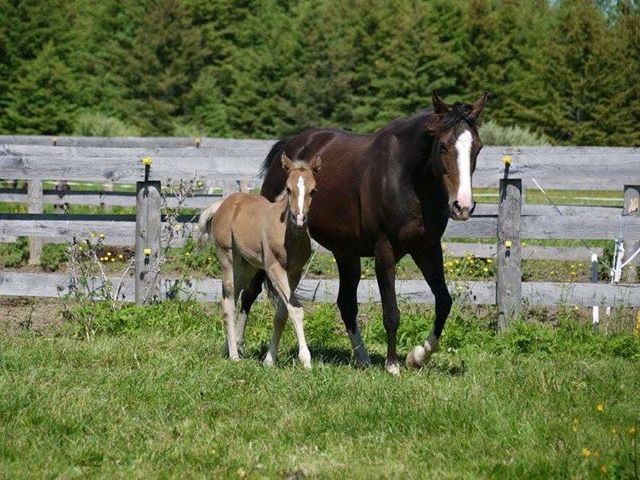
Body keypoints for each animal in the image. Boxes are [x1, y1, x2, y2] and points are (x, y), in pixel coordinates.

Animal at [200, 154, 320, 368]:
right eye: (288, 188)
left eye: (313, 190)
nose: (299, 219)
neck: (289, 236)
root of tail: (223, 204)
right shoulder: (274, 269)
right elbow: (295, 310)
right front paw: (306, 360)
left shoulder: (294, 272)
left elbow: (282, 313)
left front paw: (269, 360)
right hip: (227, 257)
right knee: (228, 302)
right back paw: (234, 356)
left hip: (247, 266)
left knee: (233, 295)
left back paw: (229, 348)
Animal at [239, 92, 484, 374]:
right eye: (443, 146)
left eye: (477, 147)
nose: (462, 206)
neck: (406, 178)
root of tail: (289, 146)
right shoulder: (385, 251)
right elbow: (391, 313)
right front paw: (392, 366)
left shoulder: (427, 248)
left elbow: (444, 302)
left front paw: (417, 356)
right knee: (250, 293)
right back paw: (238, 348)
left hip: (345, 253)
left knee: (344, 303)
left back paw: (362, 358)